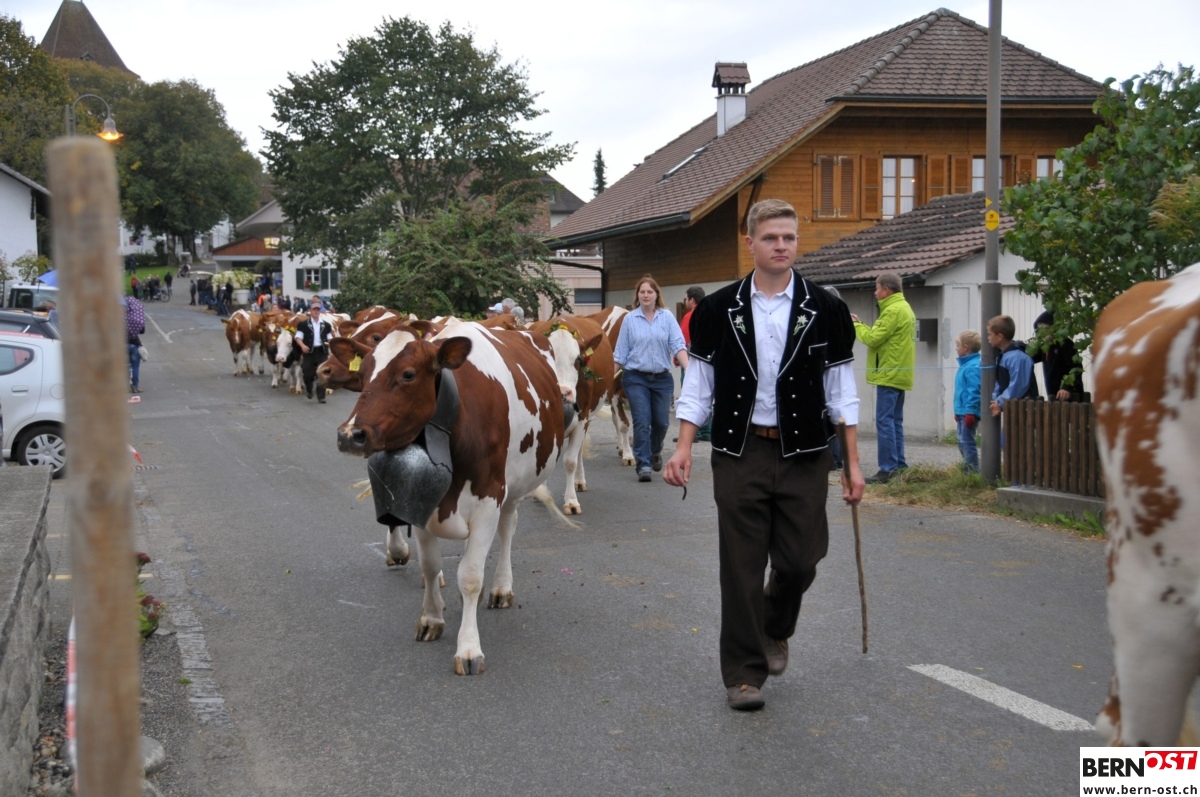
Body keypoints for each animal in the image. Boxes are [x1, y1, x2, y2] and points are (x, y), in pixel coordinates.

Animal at [335, 323, 565, 675]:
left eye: (409, 374)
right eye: (362, 375)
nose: (350, 434)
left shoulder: (488, 499)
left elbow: (470, 576)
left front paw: (469, 649)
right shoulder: (422, 500)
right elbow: (430, 566)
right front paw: (431, 618)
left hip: (514, 487)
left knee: (507, 529)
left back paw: (501, 587)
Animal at [529, 315, 613, 514]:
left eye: (577, 360)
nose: (563, 392)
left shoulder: (582, 419)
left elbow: (570, 461)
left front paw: (571, 502)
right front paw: (540, 491)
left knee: (579, 451)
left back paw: (579, 481)